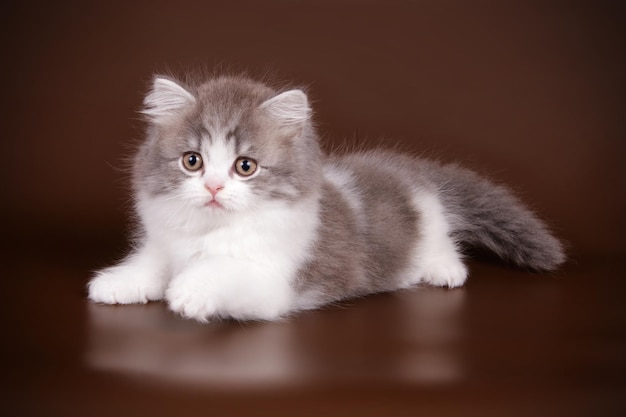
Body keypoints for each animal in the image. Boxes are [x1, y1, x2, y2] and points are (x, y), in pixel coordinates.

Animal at [89, 74, 564, 322]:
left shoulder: (274, 281)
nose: (214, 187)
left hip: (428, 223)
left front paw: (190, 290)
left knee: (441, 240)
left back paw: (445, 270)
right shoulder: (166, 242)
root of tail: (405, 169)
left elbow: (224, 271)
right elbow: (151, 264)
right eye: (193, 161)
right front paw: (118, 283)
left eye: (245, 166)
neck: (211, 230)